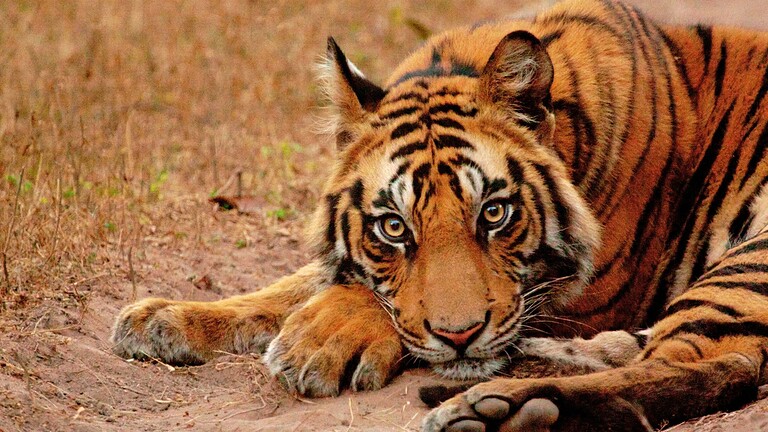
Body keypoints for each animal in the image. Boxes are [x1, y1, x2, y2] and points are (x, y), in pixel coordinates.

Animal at [110, 0, 768, 430]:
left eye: (495, 214)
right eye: (393, 226)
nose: (460, 339)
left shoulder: (588, 292)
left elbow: (363, 298)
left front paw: (316, 342)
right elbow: (296, 283)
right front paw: (164, 318)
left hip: (751, 256)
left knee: (719, 363)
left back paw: (501, 409)